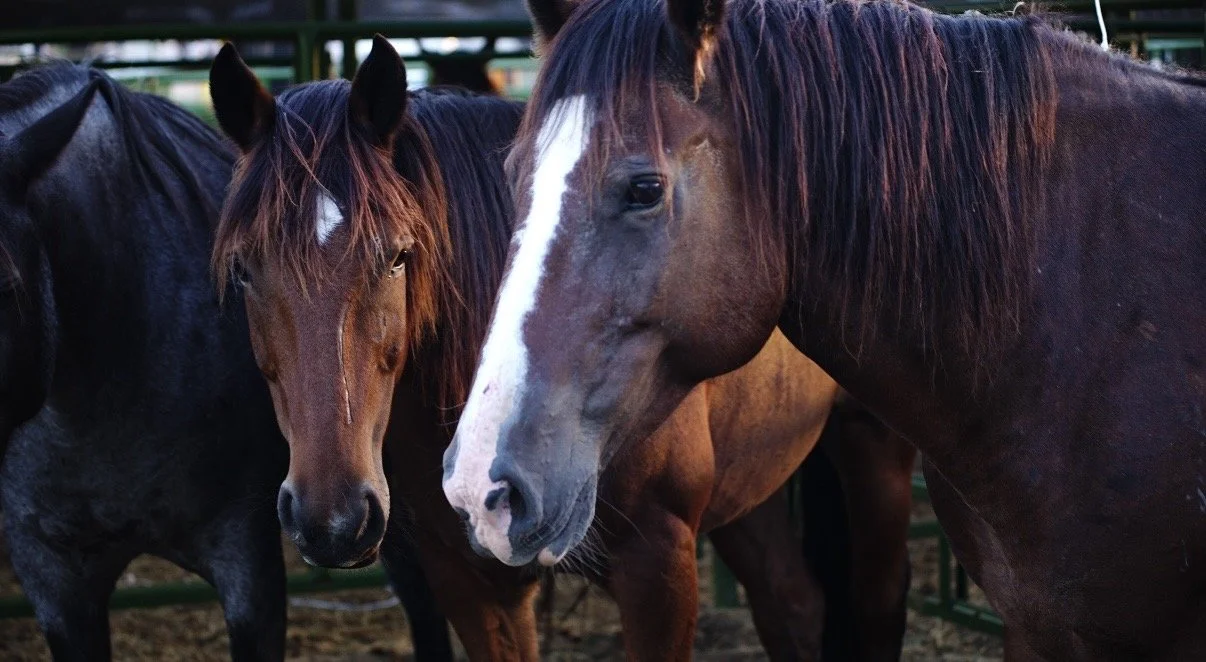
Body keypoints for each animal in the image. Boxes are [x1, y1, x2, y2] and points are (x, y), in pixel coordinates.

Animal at [209, 36, 917, 661]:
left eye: (396, 257)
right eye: (243, 271)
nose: (332, 521)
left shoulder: (658, 565)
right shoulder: (468, 581)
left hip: (874, 446)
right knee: (793, 605)